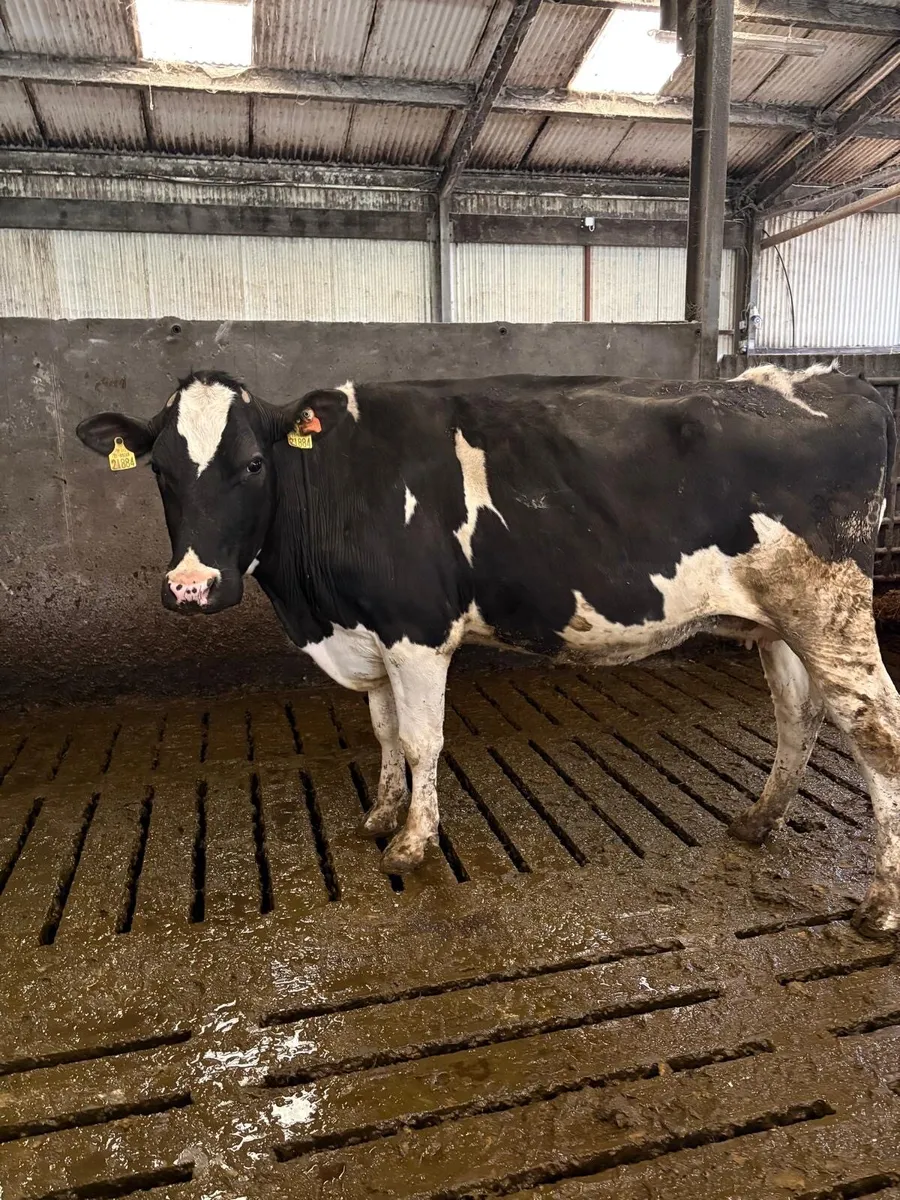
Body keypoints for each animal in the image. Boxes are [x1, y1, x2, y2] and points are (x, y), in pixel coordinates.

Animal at [76, 362, 900, 939]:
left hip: (828, 608)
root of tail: (827, 378)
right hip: (778, 620)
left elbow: (420, 740)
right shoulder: (372, 634)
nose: (190, 587)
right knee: (797, 715)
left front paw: (412, 844)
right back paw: (758, 822)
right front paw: (381, 815)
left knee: (876, 728)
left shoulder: (417, 631)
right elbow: (383, 733)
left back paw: (879, 907)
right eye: (160, 470)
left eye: (252, 464)